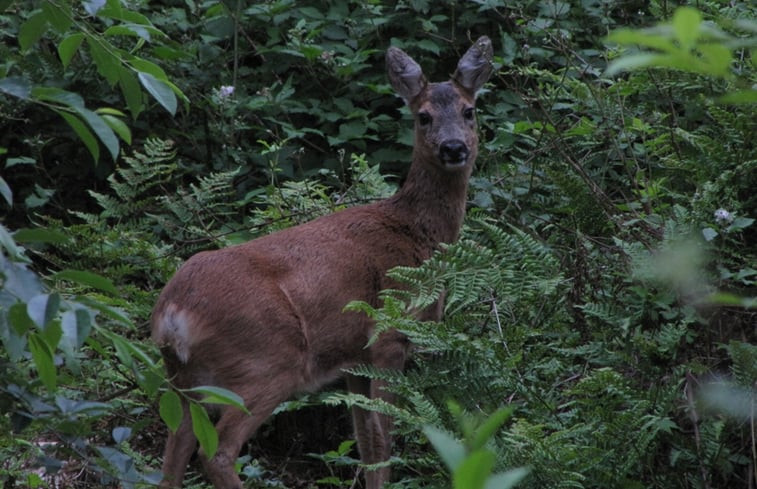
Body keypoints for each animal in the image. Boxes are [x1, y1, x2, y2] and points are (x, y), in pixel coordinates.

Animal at [152, 36, 496, 486]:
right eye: (423, 116)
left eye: (469, 110)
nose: (453, 148)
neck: (417, 236)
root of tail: (172, 314)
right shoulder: (389, 335)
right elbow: (383, 438)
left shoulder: (354, 360)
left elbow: (365, 442)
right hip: (267, 361)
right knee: (218, 450)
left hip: (183, 381)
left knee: (174, 450)